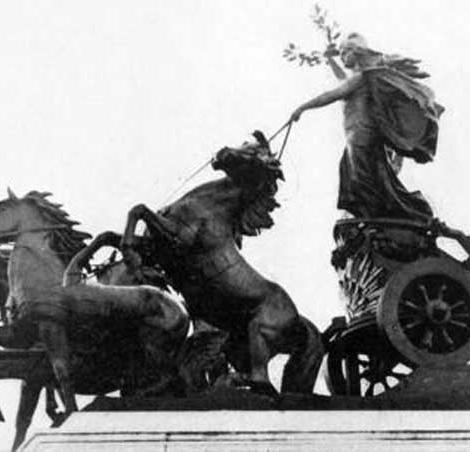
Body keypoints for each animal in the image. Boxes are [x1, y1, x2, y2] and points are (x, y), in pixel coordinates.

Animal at [0, 190, 189, 448]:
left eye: (2, 208)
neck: (40, 281)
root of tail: (182, 310)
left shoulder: (50, 330)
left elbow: (62, 372)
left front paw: (70, 413)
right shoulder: (19, 337)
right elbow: (23, 417)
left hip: (155, 349)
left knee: (169, 380)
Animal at [122, 131, 324, 396]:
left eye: (254, 156)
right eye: (246, 144)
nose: (222, 153)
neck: (210, 209)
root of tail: (298, 321)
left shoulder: (178, 240)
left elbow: (140, 210)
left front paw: (130, 258)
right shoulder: (157, 248)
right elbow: (126, 224)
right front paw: (130, 261)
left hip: (260, 331)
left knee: (261, 381)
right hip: (236, 345)